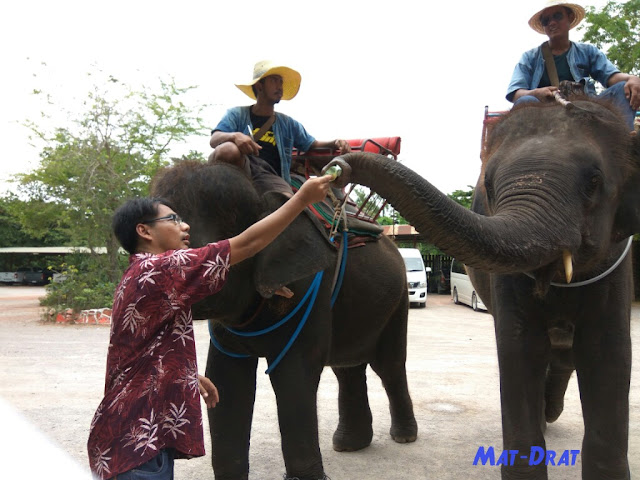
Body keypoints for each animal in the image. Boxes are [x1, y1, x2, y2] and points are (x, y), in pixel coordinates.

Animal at [152, 159, 418, 478]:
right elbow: (226, 378)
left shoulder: (311, 288)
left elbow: (293, 375)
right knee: (346, 368)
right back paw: (349, 445)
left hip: (398, 301)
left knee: (388, 365)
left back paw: (404, 437)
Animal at [324, 98, 640, 480]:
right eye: (488, 185)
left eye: (594, 181)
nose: (337, 165)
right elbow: (520, 349)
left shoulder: (617, 260)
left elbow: (607, 353)